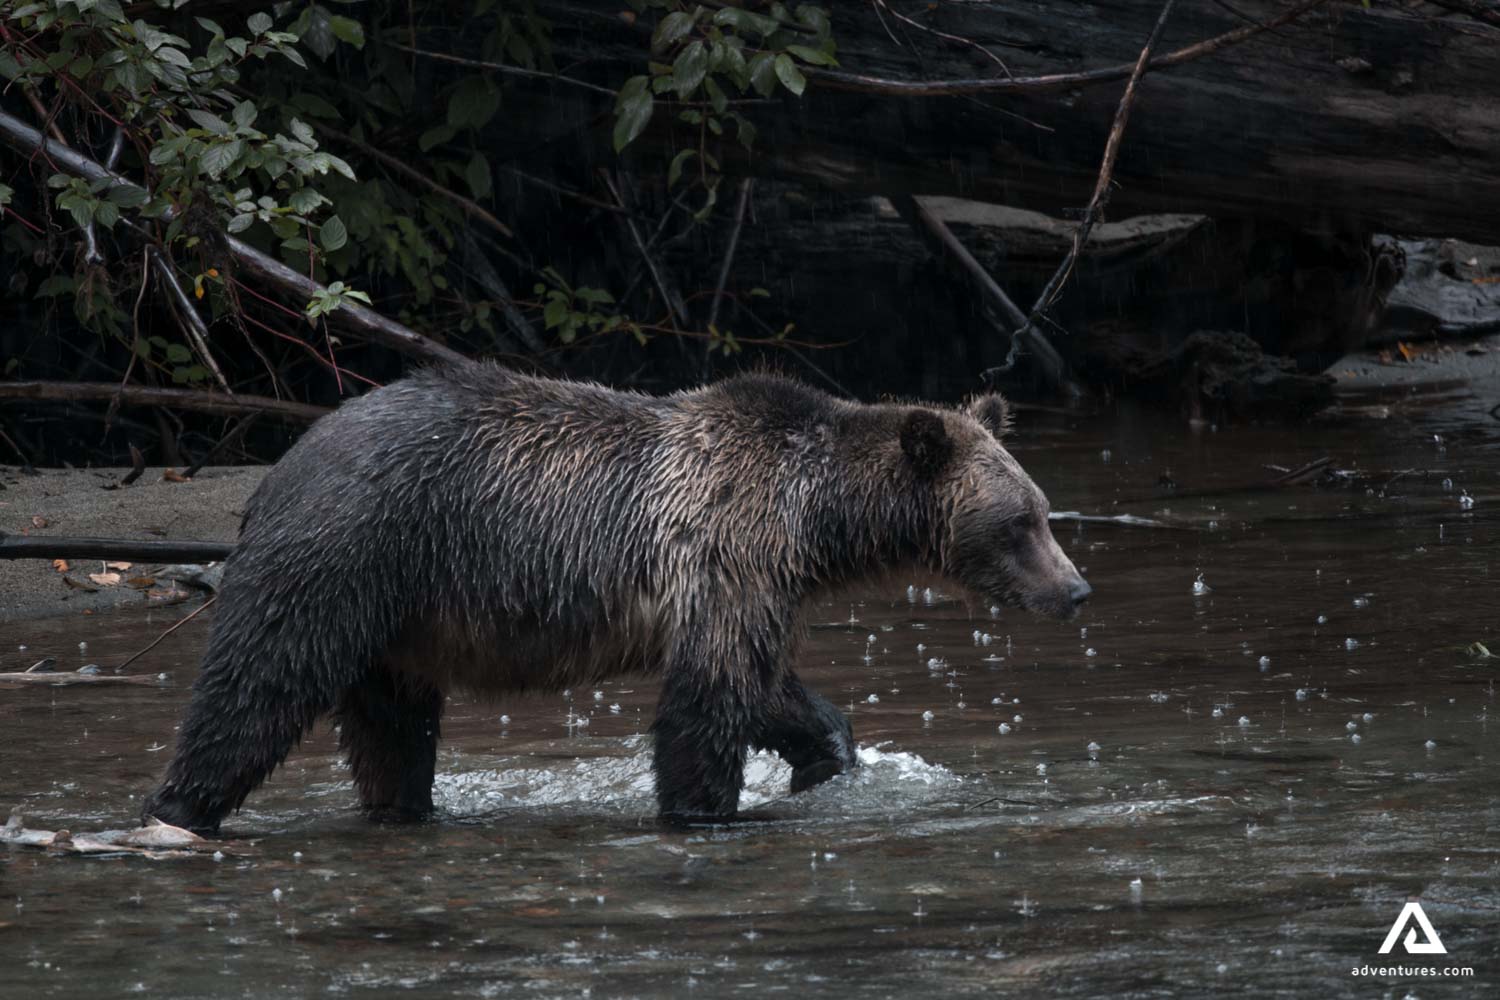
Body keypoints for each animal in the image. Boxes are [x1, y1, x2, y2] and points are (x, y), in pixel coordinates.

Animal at [142, 361, 1090, 833]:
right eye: (1021, 523)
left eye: (1044, 511)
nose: (1076, 589)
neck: (814, 516)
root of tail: (277, 469)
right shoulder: (724, 546)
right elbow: (707, 704)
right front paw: (703, 810)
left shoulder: (757, 580)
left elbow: (766, 687)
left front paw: (825, 753)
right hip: (345, 556)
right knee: (258, 687)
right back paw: (180, 808)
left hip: (398, 620)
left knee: (392, 730)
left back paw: (402, 811)